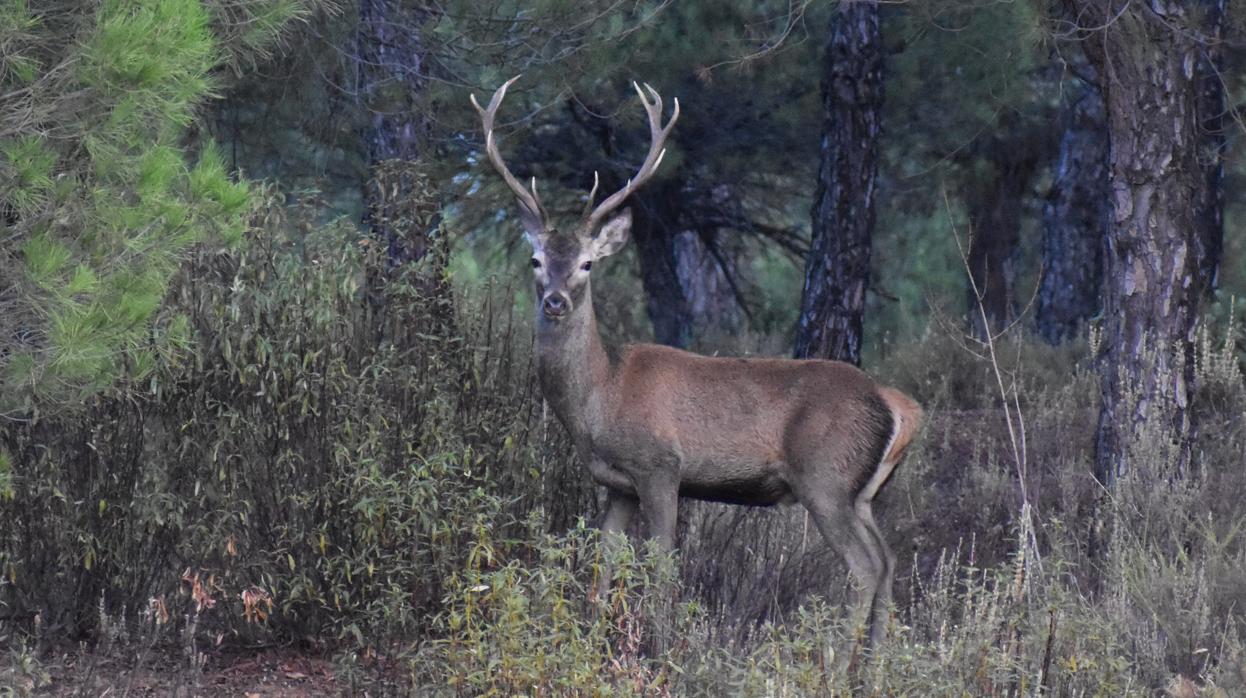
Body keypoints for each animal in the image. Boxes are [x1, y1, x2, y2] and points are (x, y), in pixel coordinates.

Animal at [470, 75, 922, 643]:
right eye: (535, 260)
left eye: (588, 264)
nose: (555, 301)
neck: (601, 396)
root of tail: (899, 405)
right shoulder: (615, 484)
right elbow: (601, 567)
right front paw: (593, 642)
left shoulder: (661, 466)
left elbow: (663, 569)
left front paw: (660, 649)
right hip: (863, 493)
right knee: (889, 562)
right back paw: (879, 658)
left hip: (826, 478)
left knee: (865, 566)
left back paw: (838, 659)